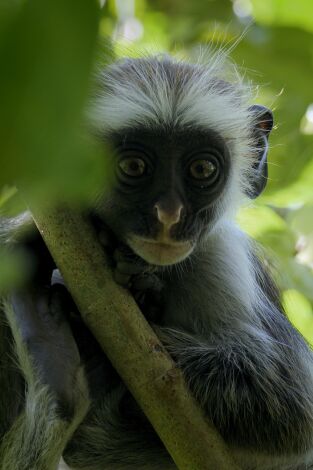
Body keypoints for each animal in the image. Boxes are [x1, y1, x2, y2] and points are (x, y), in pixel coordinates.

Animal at [0, 53, 312, 468]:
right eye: (134, 167)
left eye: (202, 169)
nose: (169, 215)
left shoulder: (219, 256)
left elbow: (294, 405)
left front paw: (142, 298)